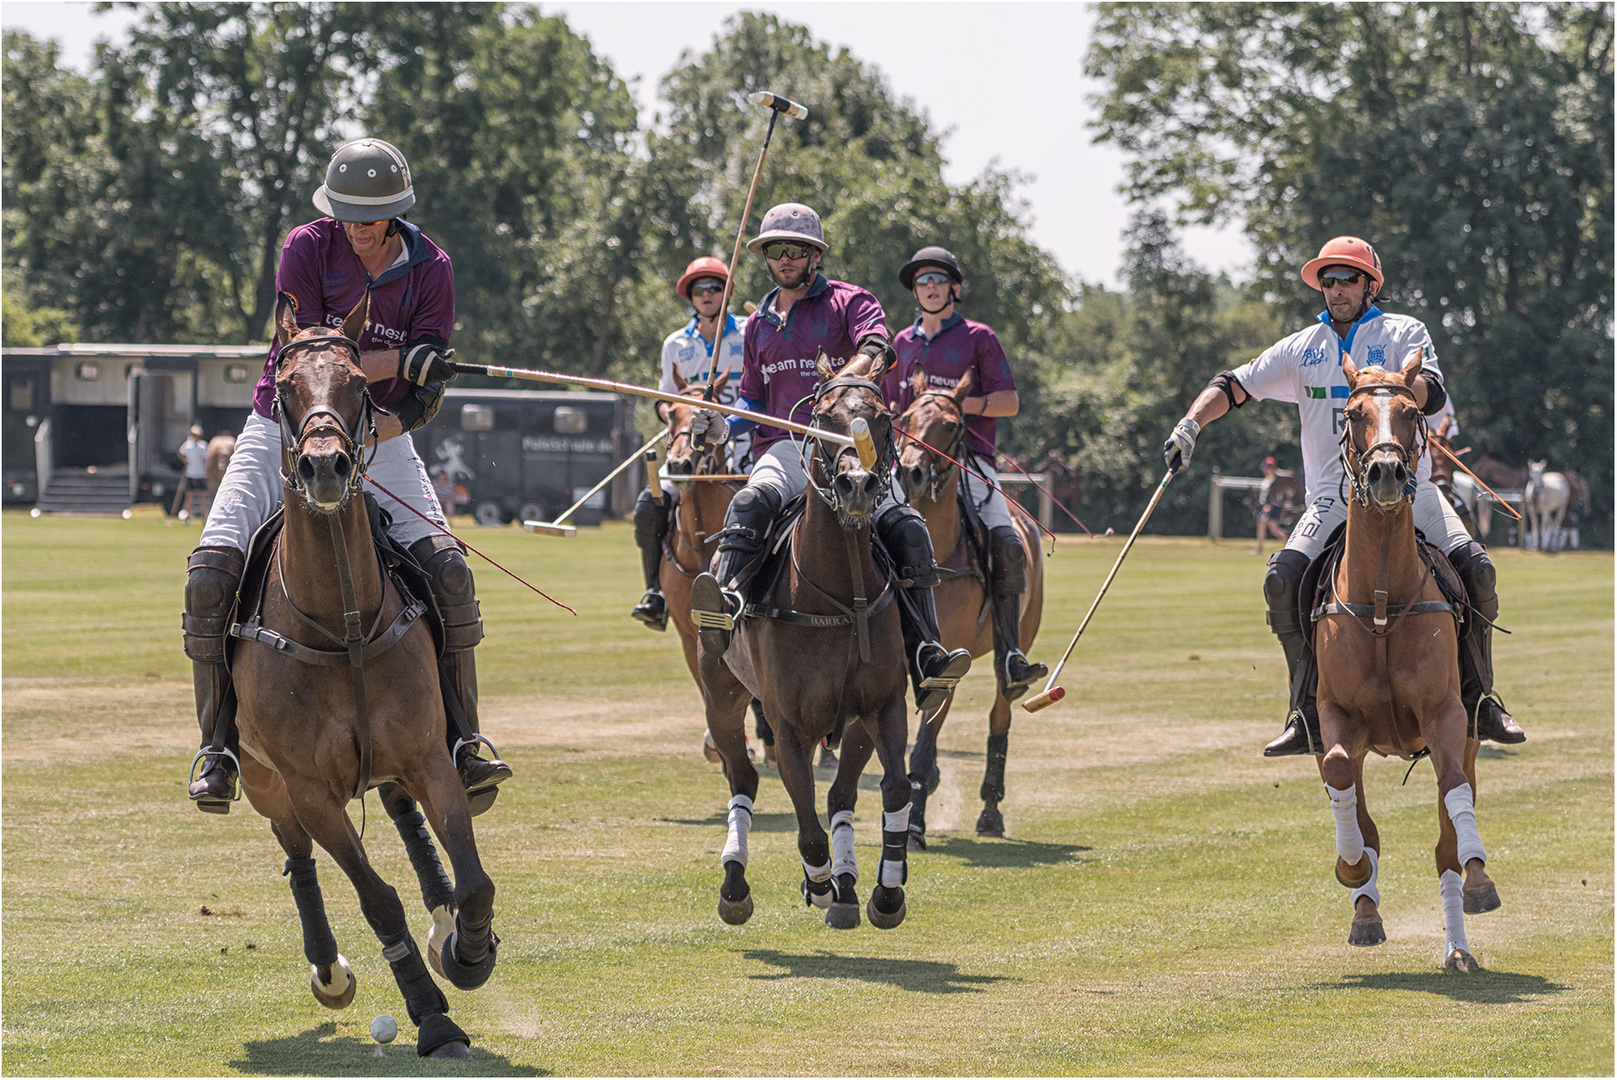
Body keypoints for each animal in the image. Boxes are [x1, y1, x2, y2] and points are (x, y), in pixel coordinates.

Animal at [224, 295, 494, 1054]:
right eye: (285, 388)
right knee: (298, 858)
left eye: (356, 385)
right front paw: (432, 1014)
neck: (338, 623)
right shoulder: (311, 792)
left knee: (404, 815)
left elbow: (475, 881)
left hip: (395, 760)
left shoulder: (429, 755)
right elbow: (376, 898)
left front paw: (468, 952)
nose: (326, 467)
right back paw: (328, 971)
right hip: (265, 783)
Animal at [698, 354, 918, 931]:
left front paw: (886, 891)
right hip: (720, 695)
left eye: (884, 418)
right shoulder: (788, 724)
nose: (857, 485)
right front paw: (816, 882)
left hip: (855, 721)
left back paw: (847, 886)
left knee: (841, 792)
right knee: (743, 779)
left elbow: (895, 788)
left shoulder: (884, 705)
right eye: (821, 417)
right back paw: (737, 883)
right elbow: (807, 823)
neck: (839, 597)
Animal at [892, 367, 1041, 847]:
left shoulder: (947, 660)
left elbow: (922, 747)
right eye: (905, 417)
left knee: (1002, 708)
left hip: (1018, 636)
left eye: (953, 425)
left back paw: (990, 810)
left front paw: (914, 825)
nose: (911, 473)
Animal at [1313, 360, 1500, 970]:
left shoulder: (1446, 714)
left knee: (1448, 829)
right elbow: (1342, 779)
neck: (1382, 600)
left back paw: (1460, 939)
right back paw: (1365, 909)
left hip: (1471, 727)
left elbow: (1452, 792)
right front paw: (1352, 869)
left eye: (1413, 411)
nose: (1387, 474)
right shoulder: (1334, 716)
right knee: (1361, 814)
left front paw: (1478, 876)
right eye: (1352, 413)